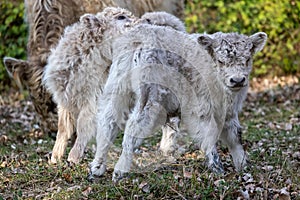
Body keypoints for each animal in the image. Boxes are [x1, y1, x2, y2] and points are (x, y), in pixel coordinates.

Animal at [89, 23, 268, 181]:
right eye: (220, 61)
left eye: (247, 59)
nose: (237, 80)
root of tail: (139, 38)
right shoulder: (202, 108)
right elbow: (209, 135)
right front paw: (217, 168)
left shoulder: (228, 111)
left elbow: (235, 135)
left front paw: (243, 165)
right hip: (150, 96)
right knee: (133, 127)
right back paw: (120, 171)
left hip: (117, 88)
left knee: (108, 121)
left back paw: (97, 167)